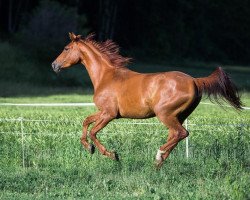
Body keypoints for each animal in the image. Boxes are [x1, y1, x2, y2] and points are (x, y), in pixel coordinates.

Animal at [51, 32, 242, 169]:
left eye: (66, 48)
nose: (54, 65)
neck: (106, 76)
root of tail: (195, 80)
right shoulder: (103, 112)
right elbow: (85, 122)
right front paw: (88, 147)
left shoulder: (109, 114)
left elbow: (92, 131)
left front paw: (112, 155)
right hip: (177, 116)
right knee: (175, 134)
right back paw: (158, 162)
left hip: (165, 114)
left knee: (182, 133)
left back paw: (158, 155)